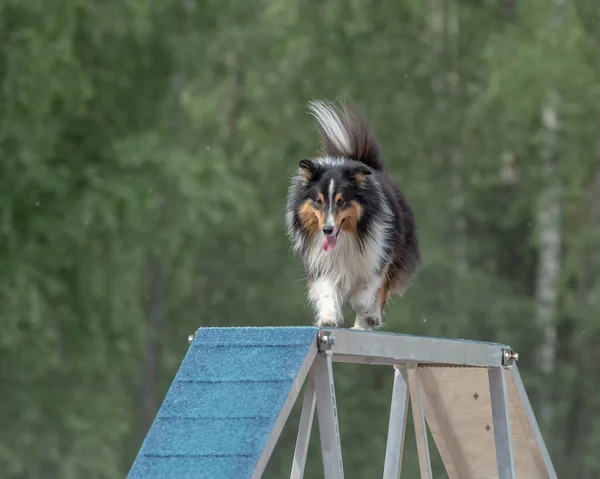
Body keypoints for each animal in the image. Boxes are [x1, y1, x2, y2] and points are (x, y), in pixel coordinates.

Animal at [284, 99, 420, 332]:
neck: (346, 237)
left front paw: (365, 316)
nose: (327, 230)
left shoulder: (376, 257)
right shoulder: (323, 262)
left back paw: (368, 320)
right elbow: (327, 291)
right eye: (318, 201)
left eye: (341, 201)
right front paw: (328, 319)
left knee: (382, 289)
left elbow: (364, 296)